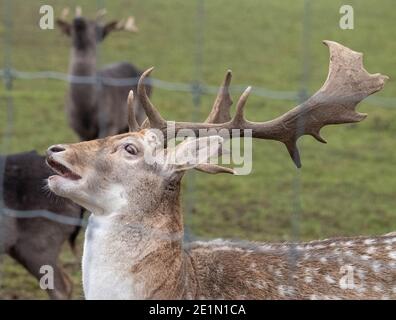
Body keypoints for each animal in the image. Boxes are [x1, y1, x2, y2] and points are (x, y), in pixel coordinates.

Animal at [57, 6, 152, 140]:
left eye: (97, 29)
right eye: (70, 28)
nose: (79, 21)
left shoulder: (109, 123)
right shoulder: (79, 130)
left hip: (140, 113)